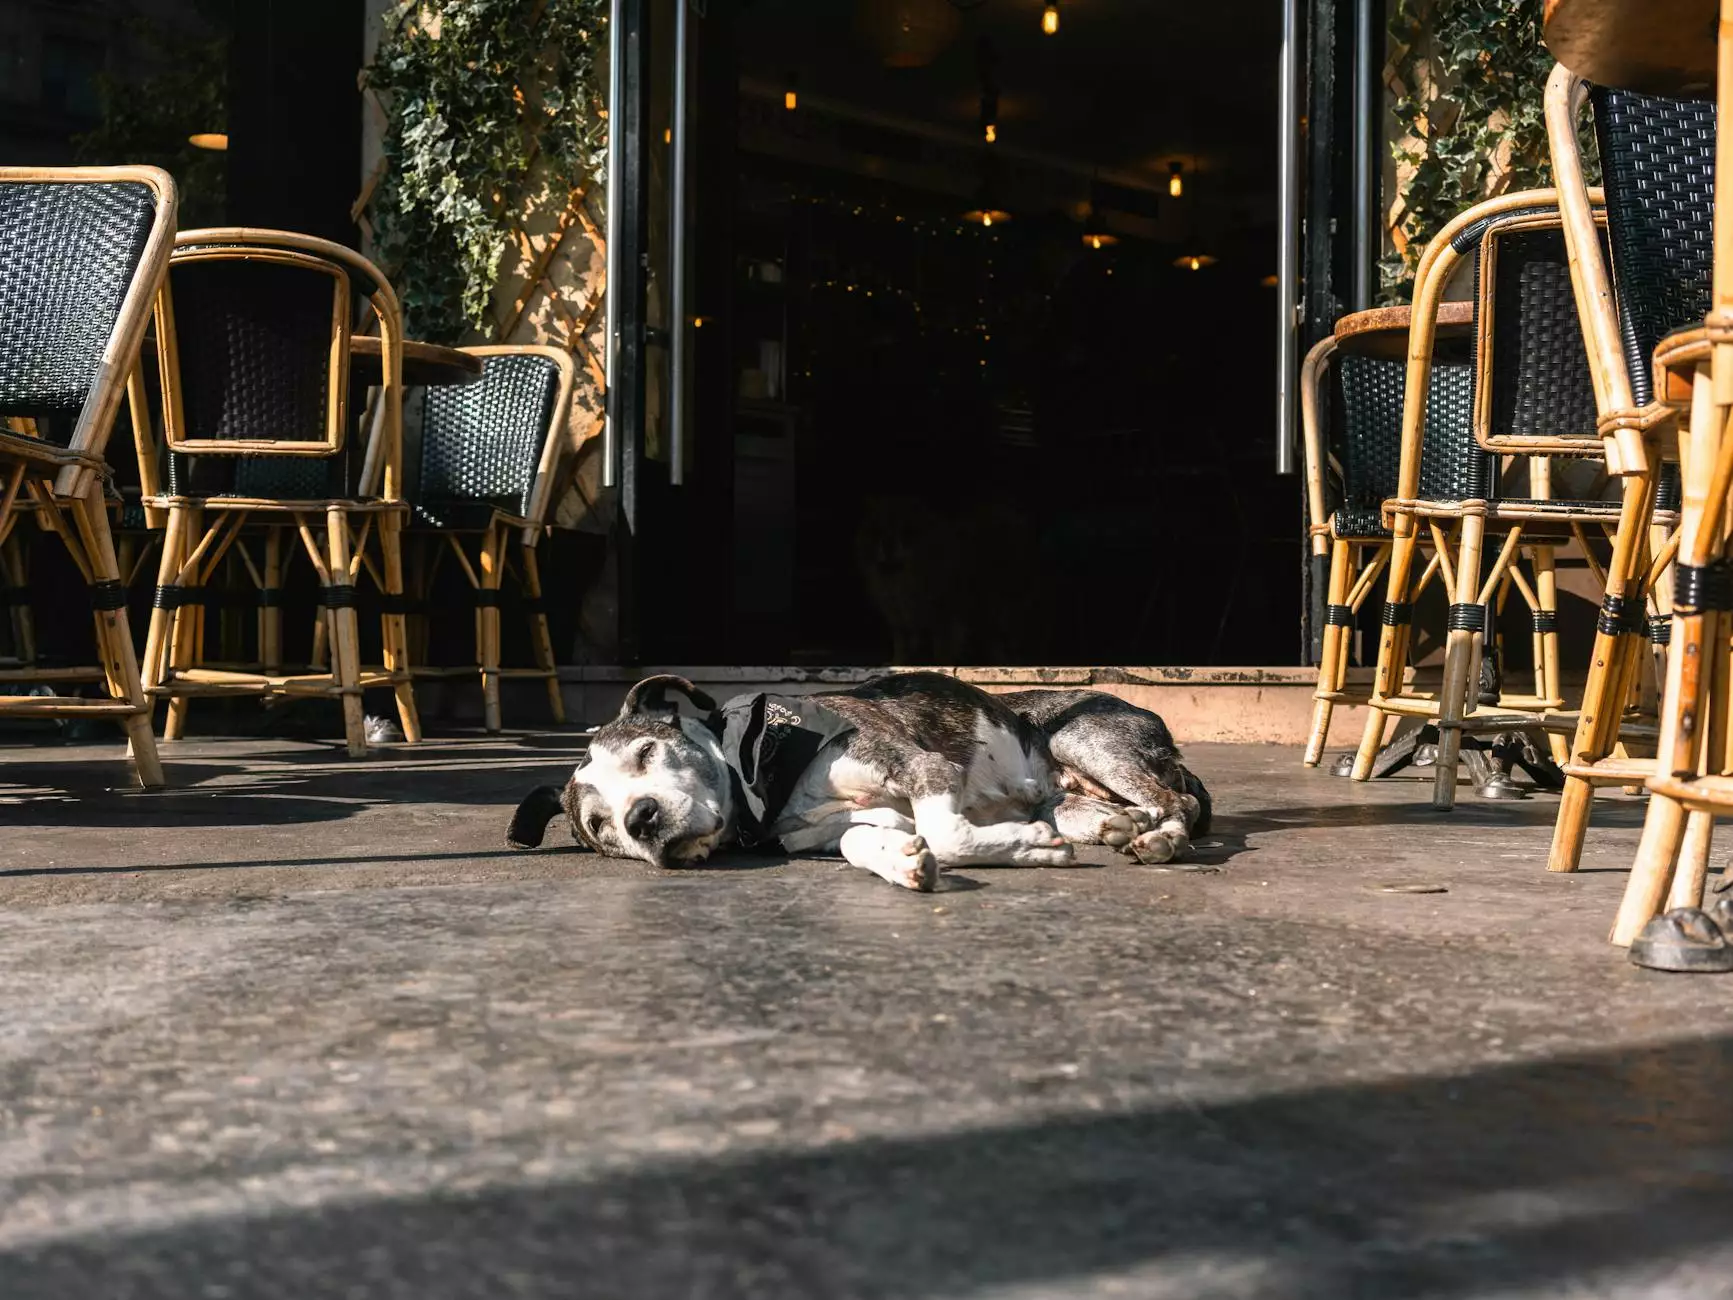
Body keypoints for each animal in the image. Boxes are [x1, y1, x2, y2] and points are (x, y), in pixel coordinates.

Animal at [512, 672, 1213, 894]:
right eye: (599, 827)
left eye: (648, 751)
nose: (641, 820)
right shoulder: (833, 829)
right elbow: (862, 842)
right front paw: (902, 861)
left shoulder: (925, 769)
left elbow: (946, 831)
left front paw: (1029, 849)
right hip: (1068, 789)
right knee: (1105, 808)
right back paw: (1118, 824)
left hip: (1084, 739)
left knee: (1174, 797)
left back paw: (1161, 838)